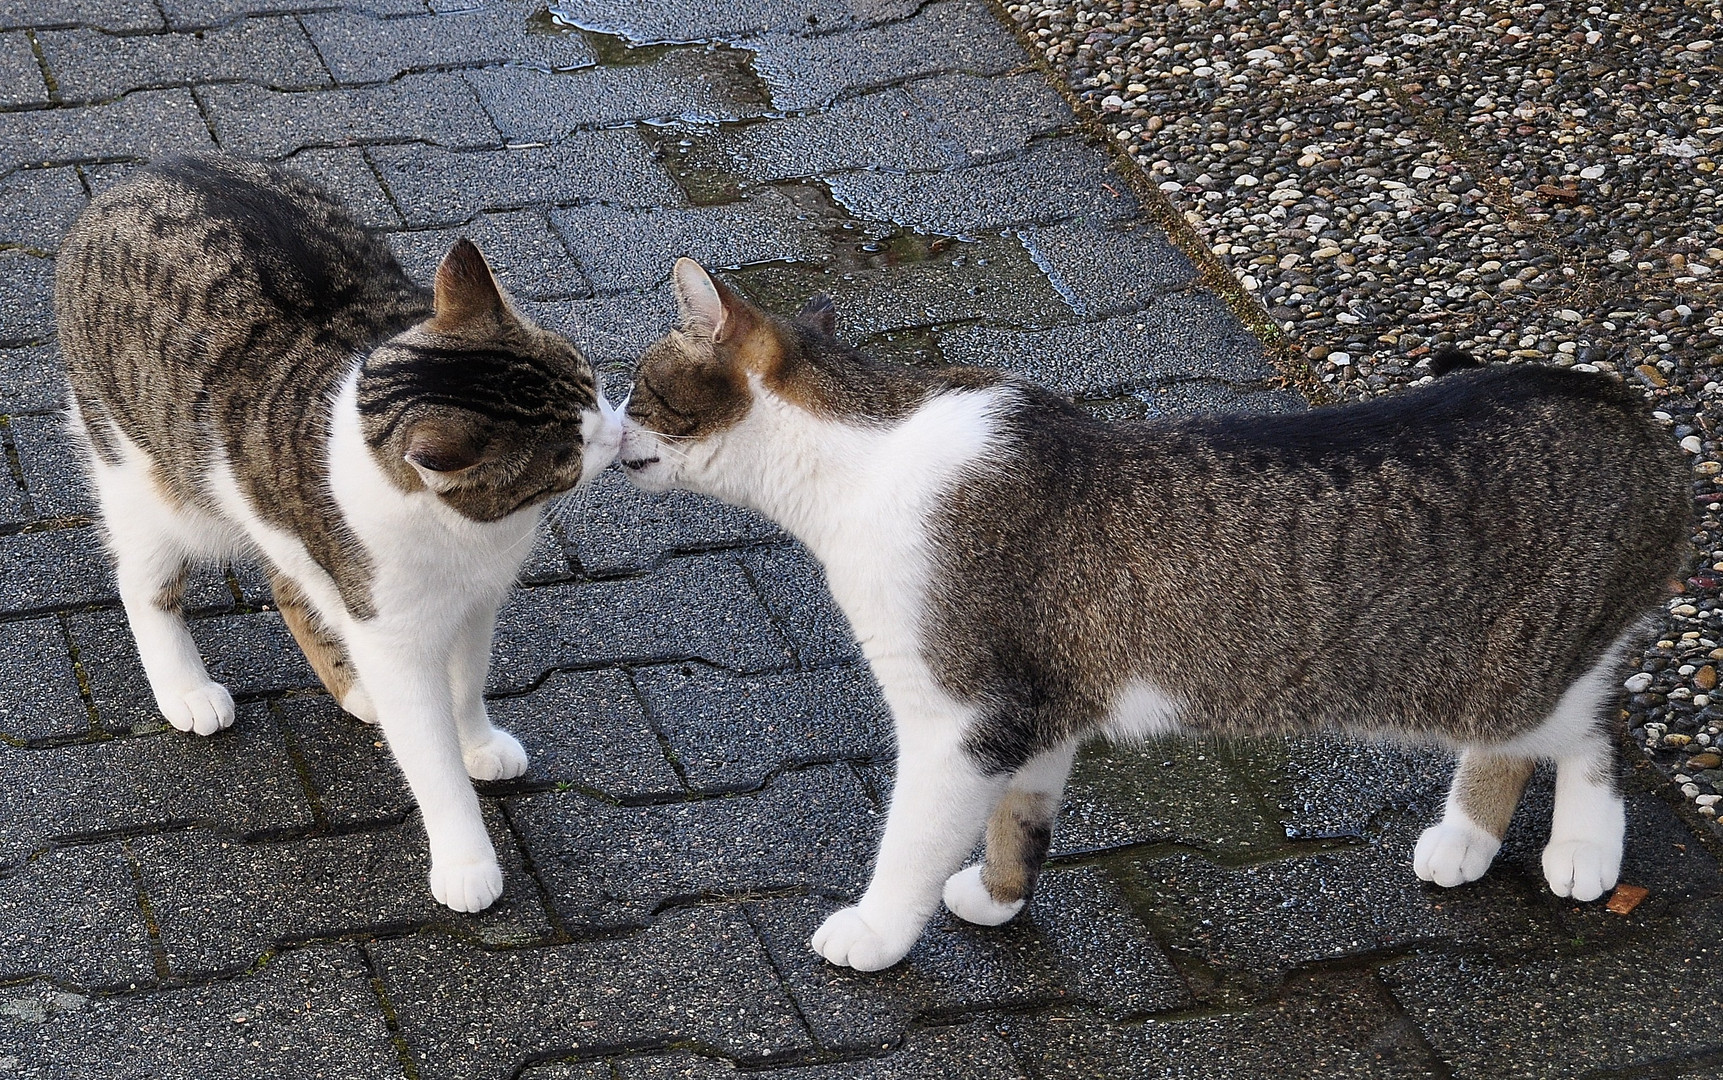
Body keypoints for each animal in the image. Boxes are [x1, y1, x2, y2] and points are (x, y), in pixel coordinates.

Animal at [616, 260, 1681, 971]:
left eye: (640, 386)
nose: (607, 423)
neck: (858, 456)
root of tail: (1614, 399)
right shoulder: (1040, 705)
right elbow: (1020, 821)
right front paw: (999, 898)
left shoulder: (962, 714)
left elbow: (913, 840)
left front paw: (875, 931)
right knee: (1526, 741)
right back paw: (1465, 838)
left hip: (1522, 667)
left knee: (1588, 732)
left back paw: (1582, 847)